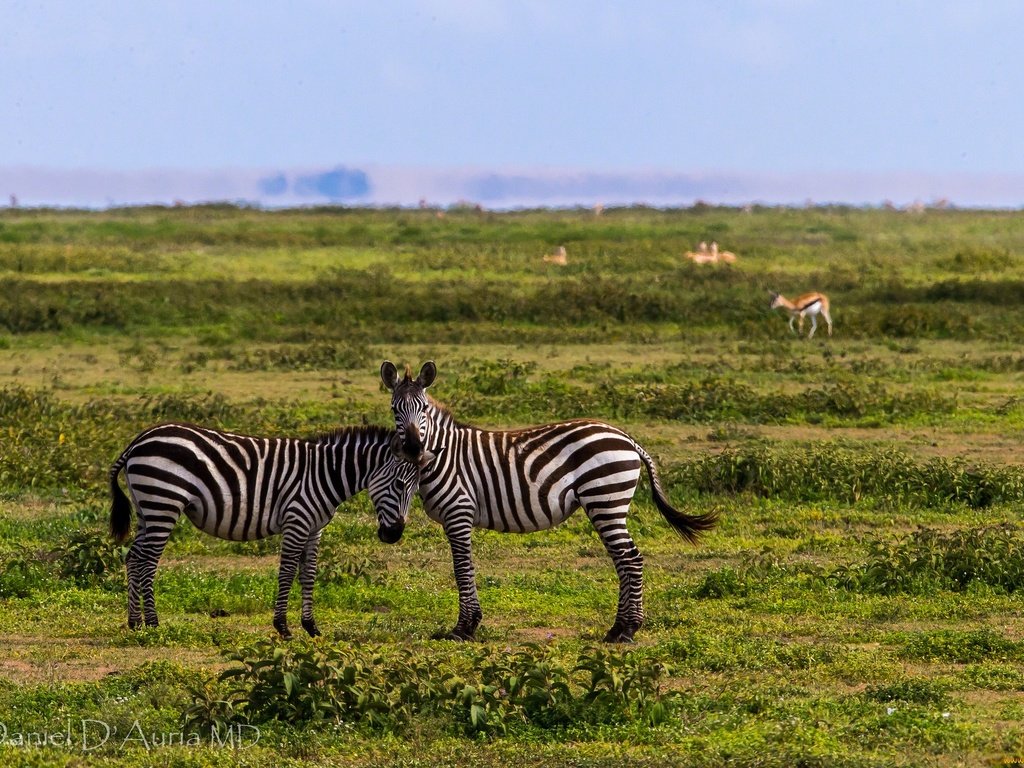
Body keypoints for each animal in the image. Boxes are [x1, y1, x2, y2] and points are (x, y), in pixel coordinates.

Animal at [108, 423, 419, 638]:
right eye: (399, 484)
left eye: (417, 488)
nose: (393, 535)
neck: (325, 474)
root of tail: (137, 441)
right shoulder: (297, 520)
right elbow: (287, 572)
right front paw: (282, 627)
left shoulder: (314, 528)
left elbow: (308, 575)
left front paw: (311, 626)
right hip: (163, 502)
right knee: (148, 562)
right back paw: (153, 623)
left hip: (146, 508)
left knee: (134, 557)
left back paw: (135, 623)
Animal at [378, 362, 720, 643]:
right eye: (395, 409)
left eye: (423, 408)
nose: (413, 447)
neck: (443, 456)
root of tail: (627, 438)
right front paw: (469, 625)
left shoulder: (458, 512)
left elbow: (462, 567)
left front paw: (464, 628)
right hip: (607, 505)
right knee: (624, 560)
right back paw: (617, 628)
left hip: (605, 500)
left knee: (630, 558)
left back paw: (627, 630)